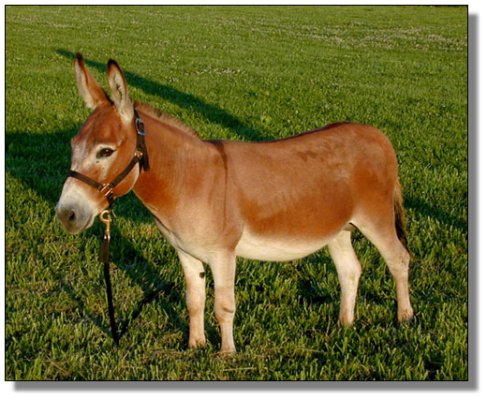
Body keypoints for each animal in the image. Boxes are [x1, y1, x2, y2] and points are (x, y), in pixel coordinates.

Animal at [56, 54, 413, 353]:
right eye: (73, 145)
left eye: (105, 151)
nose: (66, 214)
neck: (188, 180)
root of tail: (378, 135)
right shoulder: (186, 252)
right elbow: (194, 300)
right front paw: (195, 346)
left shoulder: (222, 253)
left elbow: (223, 306)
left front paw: (226, 355)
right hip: (337, 227)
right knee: (350, 270)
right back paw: (345, 324)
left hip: (375, 217)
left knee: (398, 259)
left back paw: (404, 317)